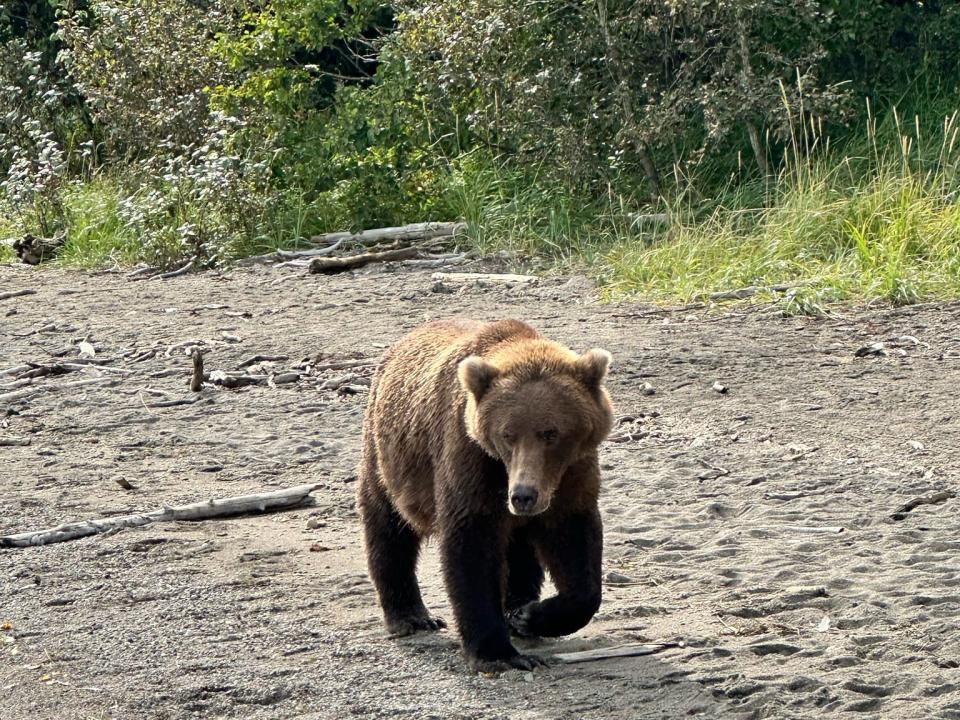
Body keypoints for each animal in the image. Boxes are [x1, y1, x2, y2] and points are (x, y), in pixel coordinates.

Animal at [354, 318, 616, 672]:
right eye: (507, 434)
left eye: (550, 433)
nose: (523, 495)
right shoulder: (470, 458)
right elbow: (471, 546)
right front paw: (497, 652)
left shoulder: (571, 473)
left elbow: (576, 547)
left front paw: (529, 616)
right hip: (387, 455)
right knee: (388, 525)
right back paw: (411, 616)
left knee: (519, 548)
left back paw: (517, 607)